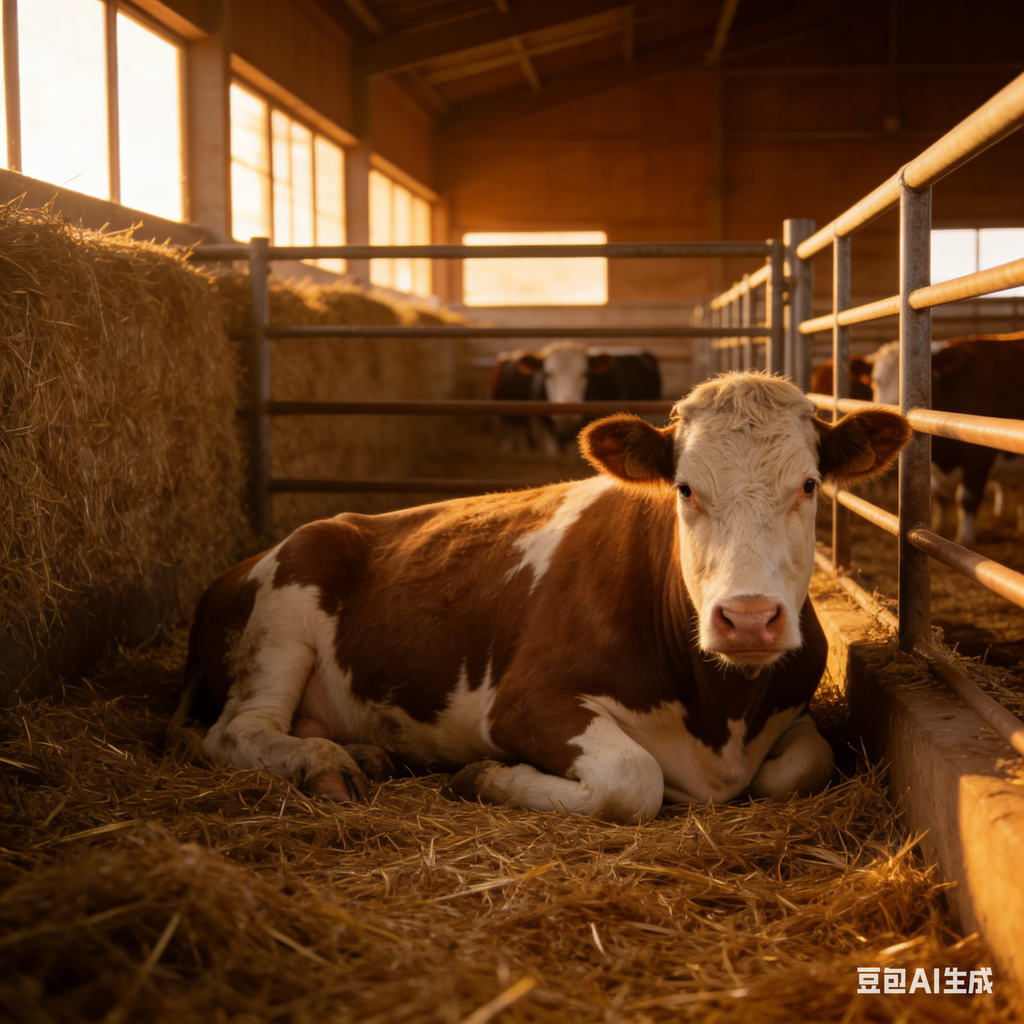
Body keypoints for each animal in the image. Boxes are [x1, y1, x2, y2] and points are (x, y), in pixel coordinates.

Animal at [182, 372, 910, 825]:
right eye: (685, 488)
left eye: (809, 485)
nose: (749, 619)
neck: (719, 712)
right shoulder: (523, 704)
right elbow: (633, 778)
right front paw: (482, 776)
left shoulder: (795, 708)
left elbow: (805, 765)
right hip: (283, 613)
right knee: (236, 732)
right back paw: (324, 764)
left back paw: (361, 756)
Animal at [871, 334, 1024, 544]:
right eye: (876, 381)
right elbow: (941, 498)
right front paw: (940, 530)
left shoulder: (978, 456)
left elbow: (967, 498)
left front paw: (964, 538)